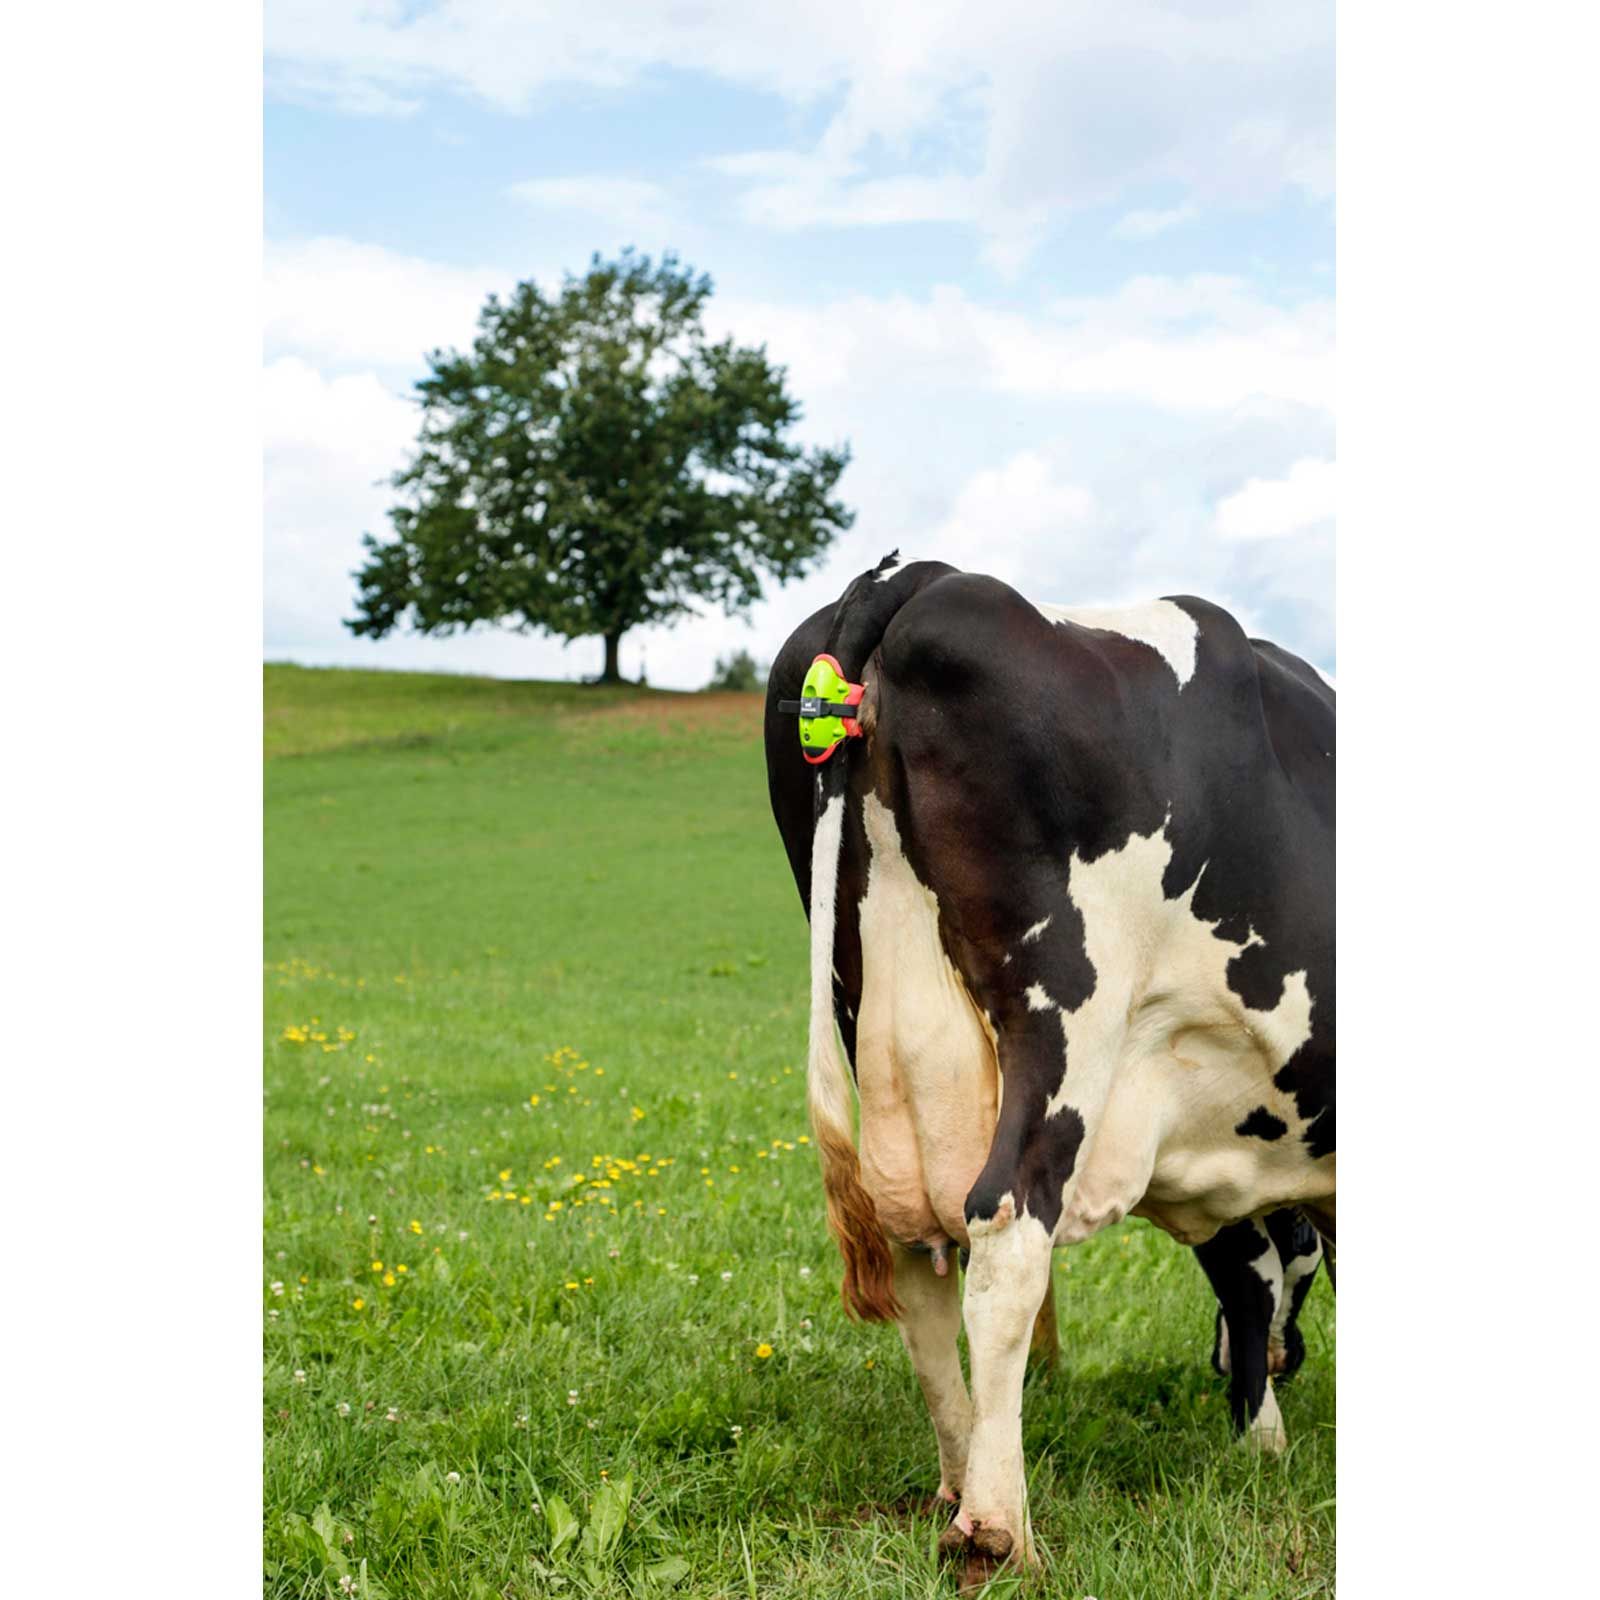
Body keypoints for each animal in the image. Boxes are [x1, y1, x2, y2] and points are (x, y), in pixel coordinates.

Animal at [764, 554, 1334, 1583]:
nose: (1287, 1360)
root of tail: (916, 575)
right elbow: (1270, 1268)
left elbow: (1244, 1271)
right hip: (1064, 1027)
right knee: (1005, 1229)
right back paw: (998, 1529)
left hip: (875, 1012)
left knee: (917, 1255)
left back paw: (956, 1481)